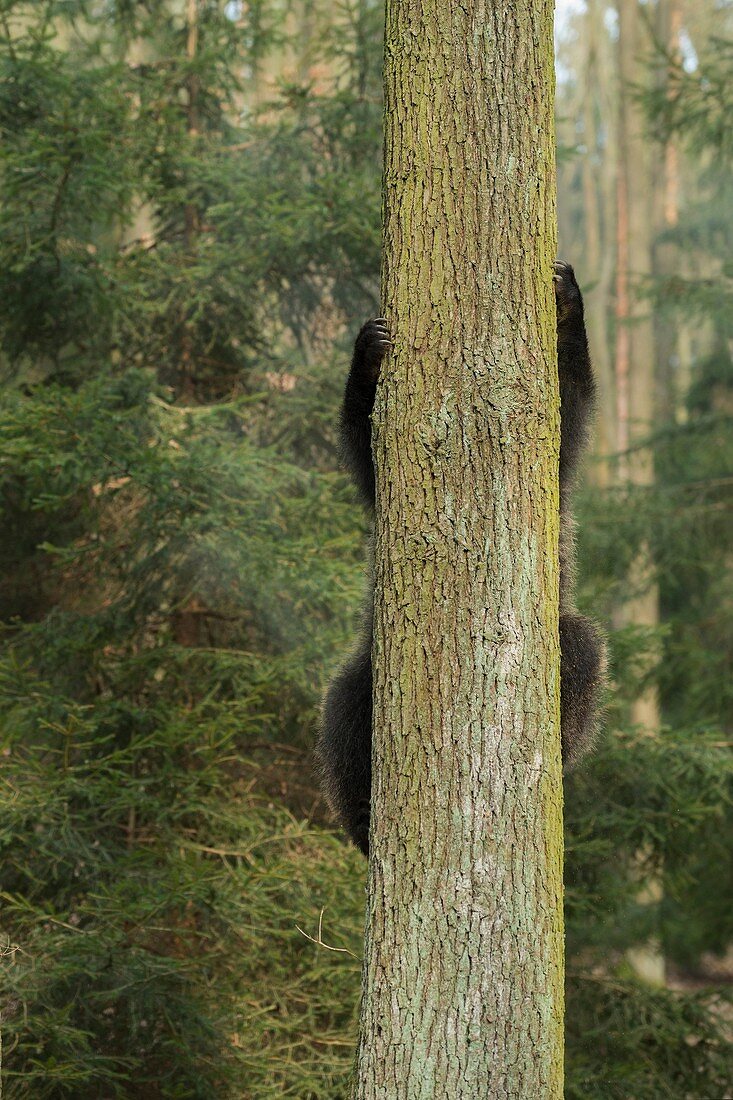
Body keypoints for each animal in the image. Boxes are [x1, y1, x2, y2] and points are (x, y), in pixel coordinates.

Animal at [316, 261, 603, 853]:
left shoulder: (552, 475)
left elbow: (569, 408)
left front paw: (567, 298)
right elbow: (363, 447)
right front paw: (369, 347)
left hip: (556, 632)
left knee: (583, 651)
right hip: (372, 663)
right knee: (344, 710)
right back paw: (362, 815)